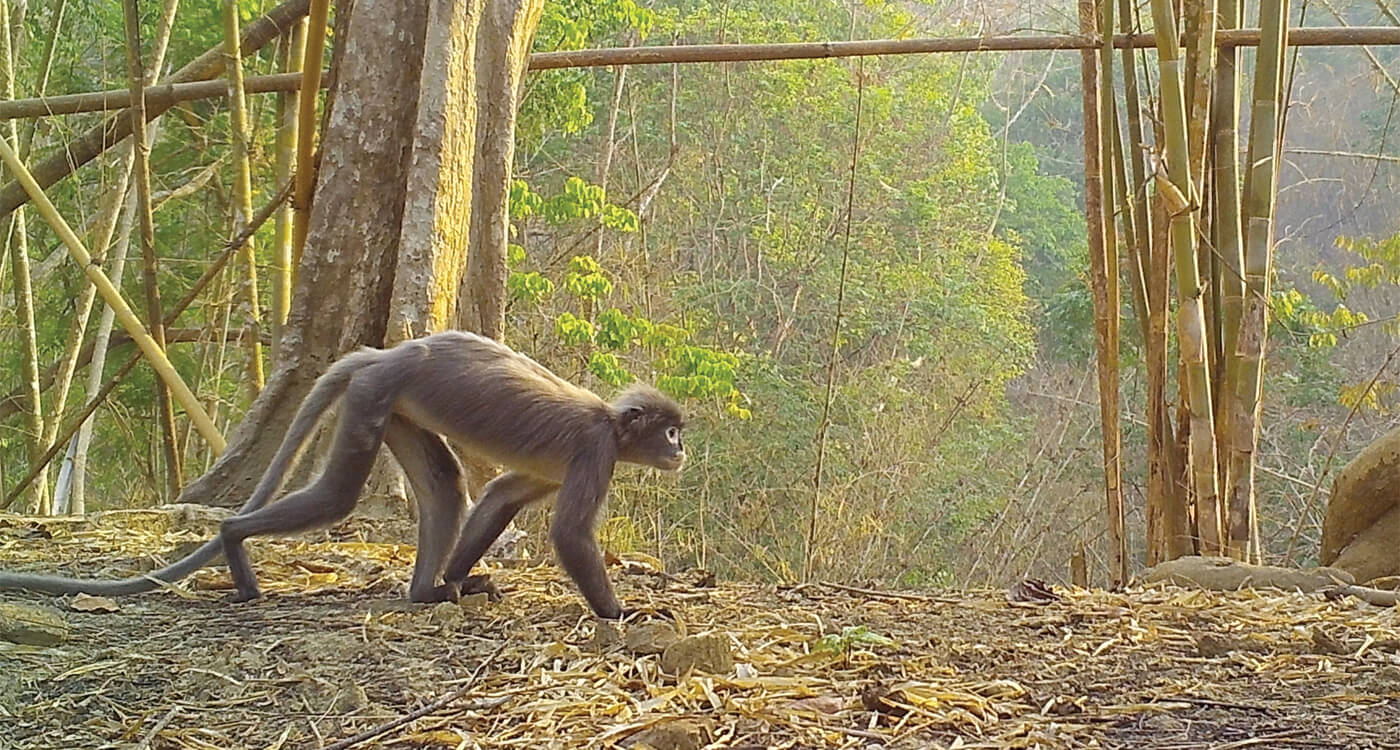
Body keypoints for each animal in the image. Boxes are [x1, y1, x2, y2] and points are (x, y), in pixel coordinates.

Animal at [0, 331, 688, 618]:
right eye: (671, 431)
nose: (681, 451)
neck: (611, 424)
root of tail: (392, 351)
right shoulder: (595, 450)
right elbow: (569, 533)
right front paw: (621, 614)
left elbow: (498, 497)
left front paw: (459, 581)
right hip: (376, 394)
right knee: (338, 495)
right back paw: (231, 541)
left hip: (393, 403)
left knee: (444, 486)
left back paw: (426, 592)